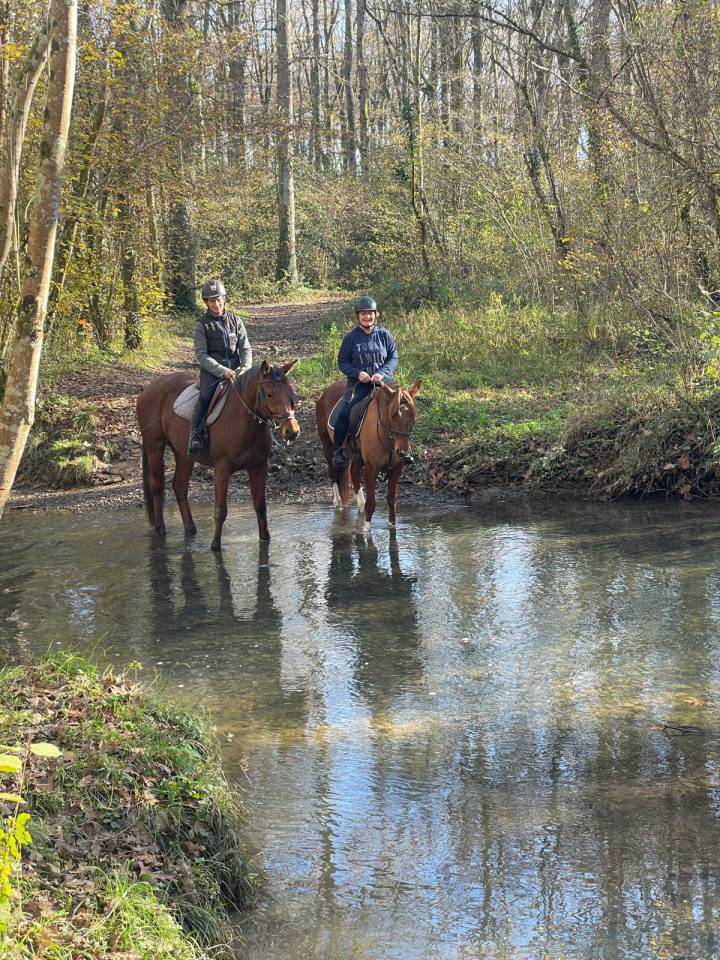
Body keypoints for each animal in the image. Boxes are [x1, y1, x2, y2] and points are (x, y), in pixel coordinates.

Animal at [136, 360, 299, 550]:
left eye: (290, 393)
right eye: (270, 394)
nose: (292, 431)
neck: (244, 422)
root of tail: (148, 389)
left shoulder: (259, 467)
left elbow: (260, 506)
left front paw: (265, 538)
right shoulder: (222, 469)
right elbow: (220, 510)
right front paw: (215, 544)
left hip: (183, 454)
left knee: (179, 486)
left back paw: (190, 528)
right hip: (154, 447)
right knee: (157, 485)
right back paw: (160, 527)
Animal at [315, 378, 421, 531]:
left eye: (413, 415)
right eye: (394, 415)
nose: (403, 452)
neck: (388, 440)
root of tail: (326, 391)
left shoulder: (396, 469)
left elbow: (391, 500)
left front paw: (392, 525)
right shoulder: (372, 468)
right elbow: (371, 503)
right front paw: (366, 529)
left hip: (356, 455)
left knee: (353, 473)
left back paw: (360, 505)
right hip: (327, 446)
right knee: (333, 472)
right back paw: (338, 502)